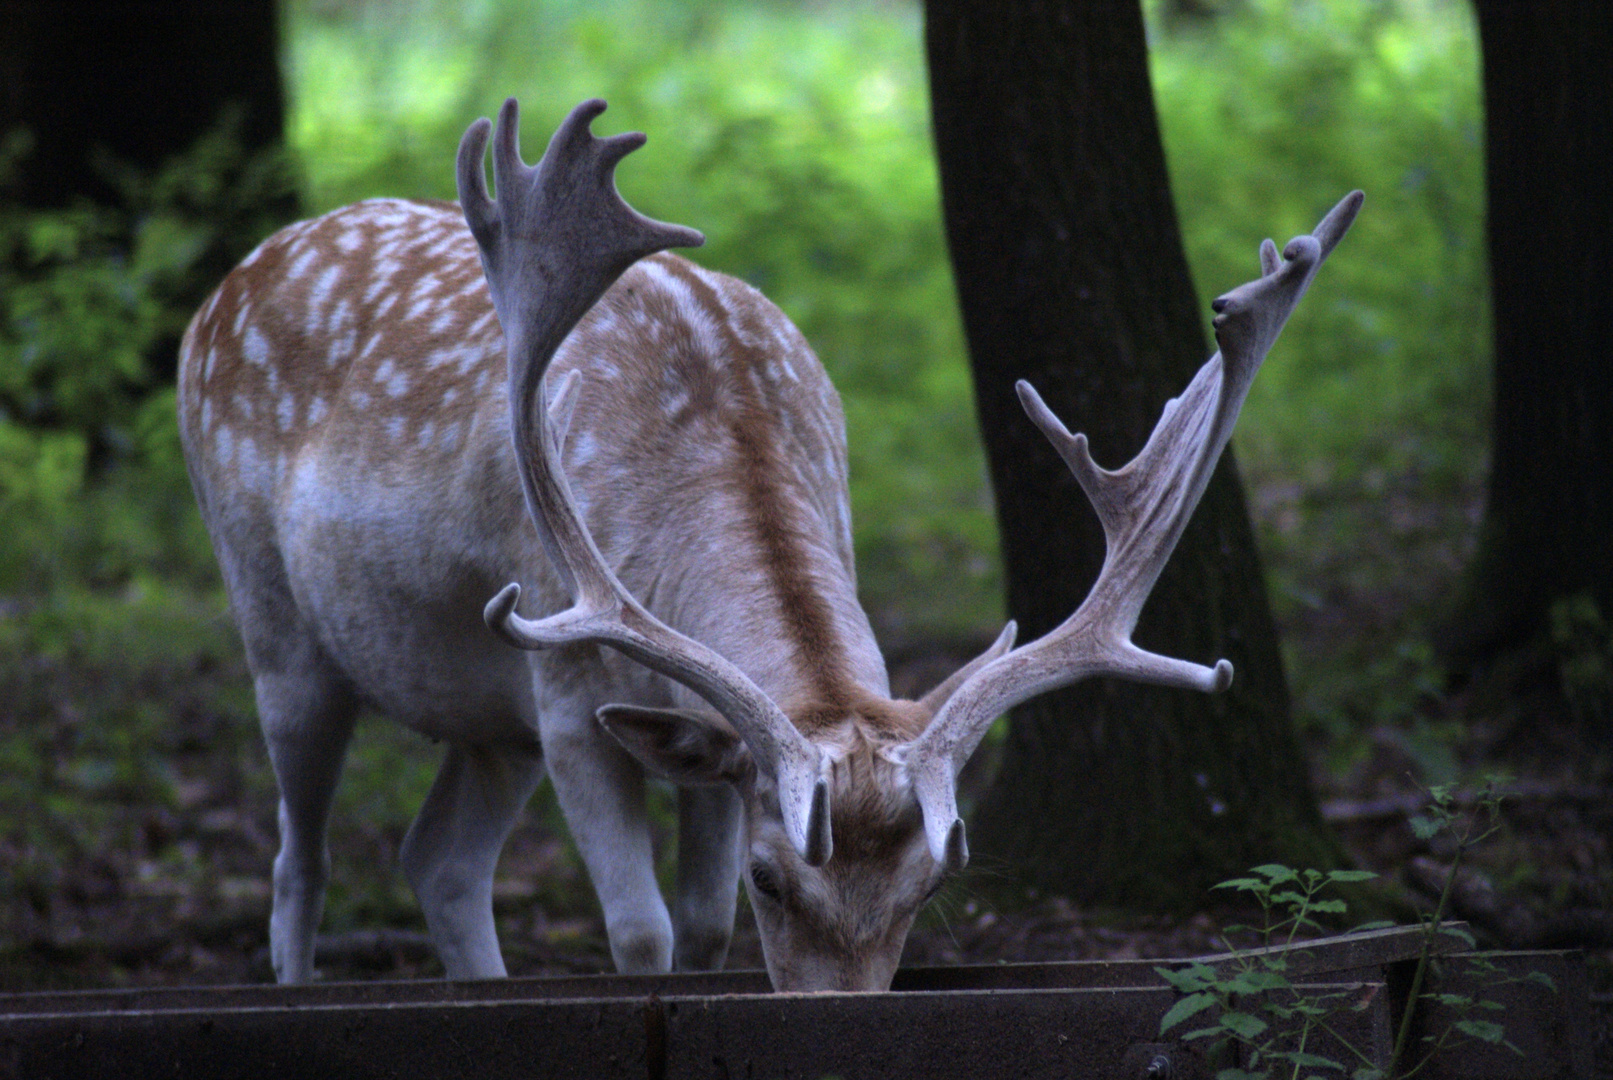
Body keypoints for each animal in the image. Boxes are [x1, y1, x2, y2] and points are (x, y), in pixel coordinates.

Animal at [176, 97, 1361, 992]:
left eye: (928, 890)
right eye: (771, 880)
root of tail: (224, 286)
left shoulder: (699, 741)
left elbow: (696, 936)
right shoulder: (563, 687)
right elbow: (643, 934)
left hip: (481, 718)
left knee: (437, 861)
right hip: (277, 629)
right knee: (297, 862)